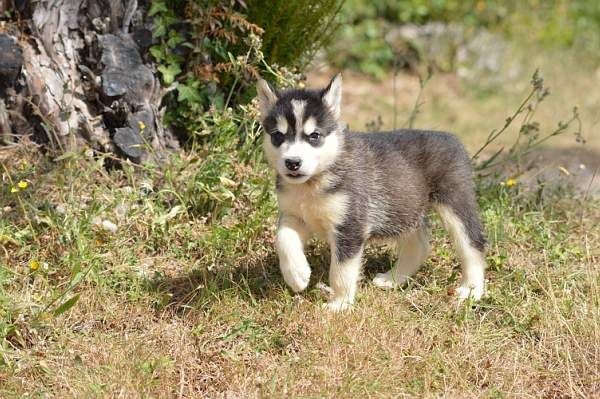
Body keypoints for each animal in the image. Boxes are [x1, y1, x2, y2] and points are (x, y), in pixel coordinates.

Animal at [255, 75, 486, 312]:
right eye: (278, 136)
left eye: (314, 136)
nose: (292, 162)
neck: (312, 184)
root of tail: (450, 137)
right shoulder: (295, 216)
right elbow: (283, 238)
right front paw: (297, 275)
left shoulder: (350, 227)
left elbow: (341, 271)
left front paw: (339, 304)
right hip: (404, 208)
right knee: (420, 245)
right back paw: (393, 279)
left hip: (455, 203)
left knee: (473, 245)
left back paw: (471, 290)